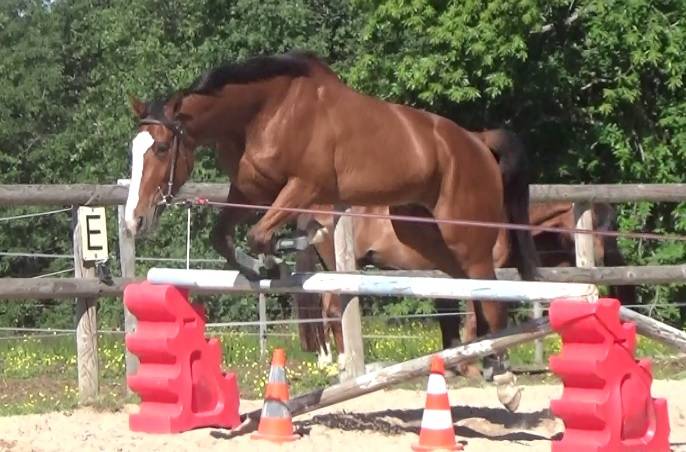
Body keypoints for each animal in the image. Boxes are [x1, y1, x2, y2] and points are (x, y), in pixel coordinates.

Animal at [123, 51, 540, 412]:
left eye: (161, 148)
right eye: (134, 149)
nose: (134, 220)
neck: (264, 113)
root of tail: (477, 141)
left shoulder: (303, 187)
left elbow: (259, 232)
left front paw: (281, 252)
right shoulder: (249, 192)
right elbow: (223, 236)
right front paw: (265, 265)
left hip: (463, 234)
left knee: (491, 297)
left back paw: (505, 383)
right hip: (424, 235)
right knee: (471, 291)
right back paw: (481, 360)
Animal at [294, 199, 637, 375]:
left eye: (610, 226)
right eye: (596, 227)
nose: (604, 257)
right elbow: (475, 318)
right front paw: (474, 362)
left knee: (325, 310)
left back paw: (328, 359)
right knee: (334, 312)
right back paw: (342, 363)